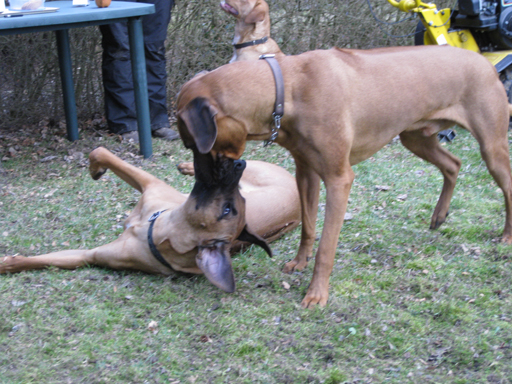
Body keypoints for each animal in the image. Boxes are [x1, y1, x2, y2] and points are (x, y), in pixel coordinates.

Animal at [1, 147, 300, 292]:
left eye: (228, 209)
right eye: (236, 204)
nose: (239, 165)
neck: (154, 229)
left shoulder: (89, 255)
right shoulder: (149, 183)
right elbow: (102, 151)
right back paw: (187, 166)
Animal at [175, 45, 512, 308]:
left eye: (193, 144)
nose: (200, 181)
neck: (288, 89)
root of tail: (484, 62)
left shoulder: (339, 179)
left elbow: (326, 246)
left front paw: (316, 294)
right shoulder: (306, 173)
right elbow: (308, 227)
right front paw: (299, 262)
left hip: (491, 145)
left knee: (505, 184)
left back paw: (506, 235)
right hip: (415, 137)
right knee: (453, 164)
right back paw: (439, 215)